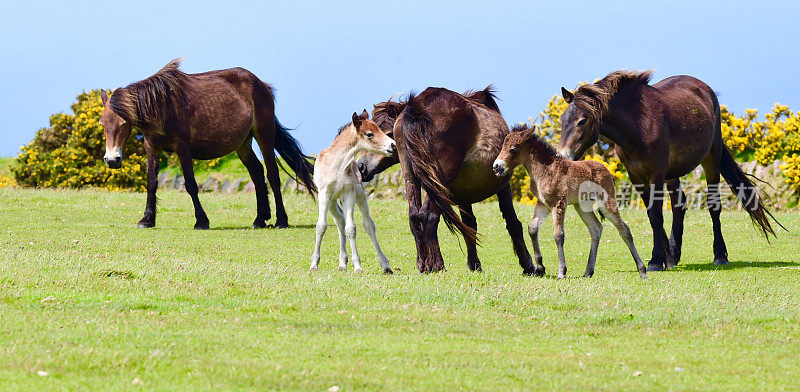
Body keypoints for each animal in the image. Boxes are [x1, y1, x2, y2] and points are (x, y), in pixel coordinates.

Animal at [98, 58, 314, 230]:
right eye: (102, 123)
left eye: (123, 123)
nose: (112, 160)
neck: (161, 105)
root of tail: (263, 86)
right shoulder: (151, 147)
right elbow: (152, 183)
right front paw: (147, 219)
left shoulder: (182, 148)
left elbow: (191, 184)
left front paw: (201, 221)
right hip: (243, 144)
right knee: (257, 173)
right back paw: (260, 219)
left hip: (264, 136)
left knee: (272, 175)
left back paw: (281, 220)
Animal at [314, 110, 398, 274]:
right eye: (369, 133)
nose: (393, 146)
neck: (338, 165)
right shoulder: (325, 194)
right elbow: (321, 226)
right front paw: (314, 263)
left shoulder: (349, 194)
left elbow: (351, 228)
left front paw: (357, 265)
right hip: (333, 201)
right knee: (340, 221)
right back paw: (342, 263)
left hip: (360, 195)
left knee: (368, 225)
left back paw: (385, 265)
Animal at [358, 86, 540, 276]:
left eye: (387, 133)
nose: (360, 166)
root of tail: (416, 107)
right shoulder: (503, 186)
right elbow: (512, 222)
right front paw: (528, 265)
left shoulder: (464, 195)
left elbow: (470, 225)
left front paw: (474, 264)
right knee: (428, 216)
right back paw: (437, 265)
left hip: (413, 178)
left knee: (414, 215)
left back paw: (422, 264)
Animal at [490, 125, 648, 278]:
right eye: (502, 147)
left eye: (513, 148)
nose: (496, 167)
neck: (545, 169)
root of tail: (607, 170)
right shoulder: (543, 204)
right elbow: (533, 228)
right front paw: (540, 267)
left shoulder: (558, 203)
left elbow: (558, 235)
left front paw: (561, 271)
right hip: (582, 206)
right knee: (596, 228)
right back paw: (588, 271)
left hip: (607, 202)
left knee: (624, 229)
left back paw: (642, 270)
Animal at [556, 70, 780, 272]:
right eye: (562, 119)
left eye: (582, 120)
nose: (564, 156)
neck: (638, 126)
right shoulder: (636, 176)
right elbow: (652, 214)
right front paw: (665, 258)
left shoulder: (656, 173)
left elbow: (656, 214)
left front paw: (656, 261)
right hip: (673, 174)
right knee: (679, 205)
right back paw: (674, 255)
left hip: (711, 160)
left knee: (713, 205)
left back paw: (720, 255)